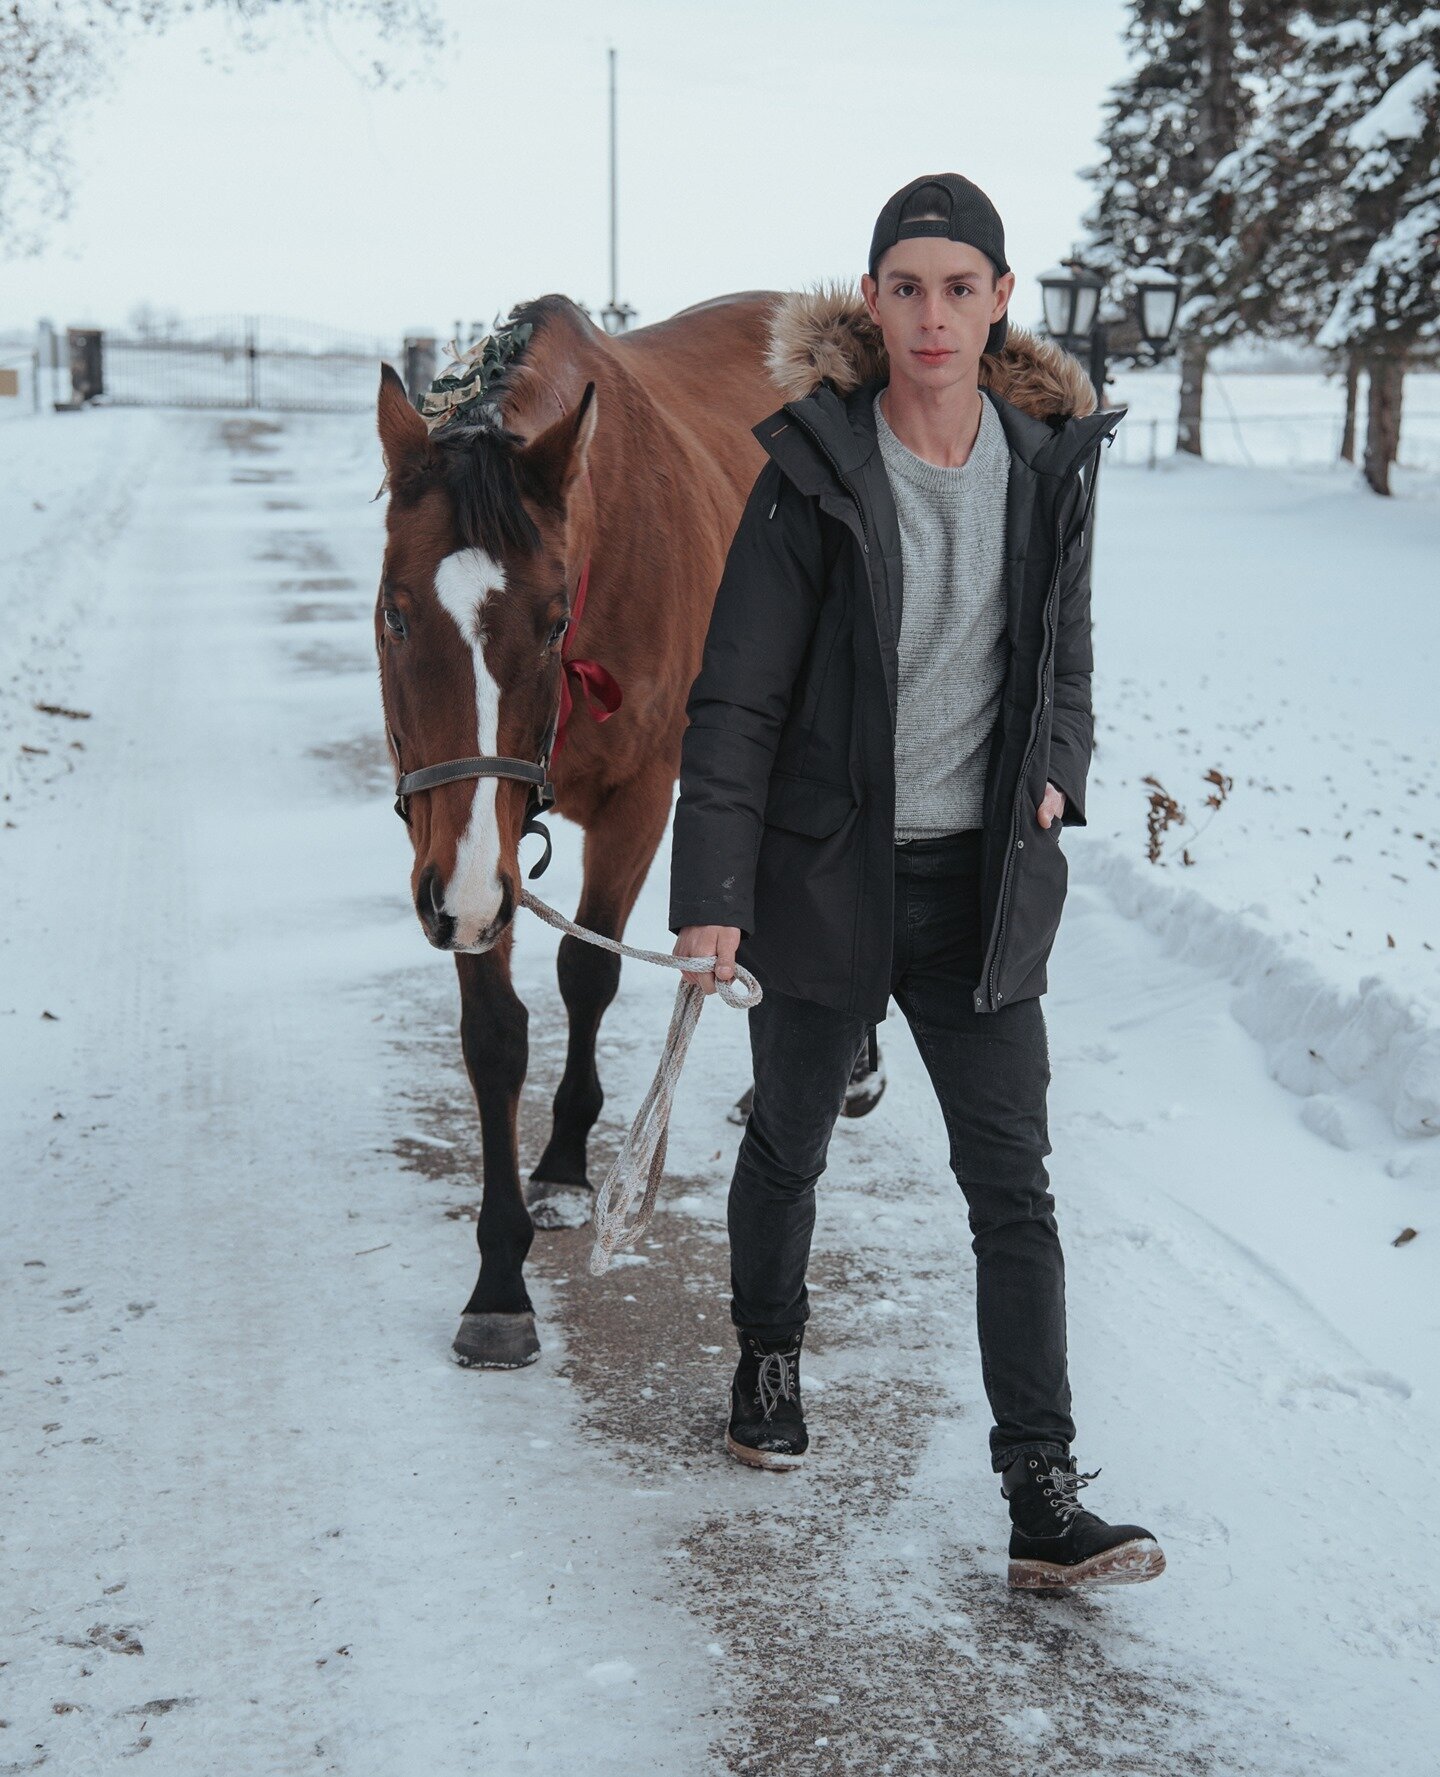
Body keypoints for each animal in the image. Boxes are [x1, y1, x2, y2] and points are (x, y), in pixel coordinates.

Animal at [373, 294, 874, 1371]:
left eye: (554, 622)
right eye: (395, 613)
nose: (460, 899)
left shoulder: (643, 798)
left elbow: (588, 975)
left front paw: (564, 1166)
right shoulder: (460, 834)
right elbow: (494, 1033)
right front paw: (500, 1279)